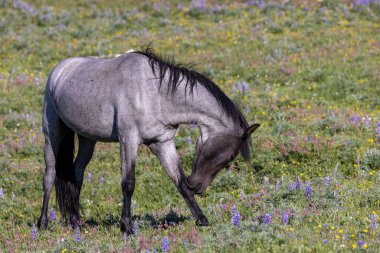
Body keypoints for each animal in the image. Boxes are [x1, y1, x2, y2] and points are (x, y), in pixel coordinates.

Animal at [37, 46, 260, 233]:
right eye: (230, 156)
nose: (198, 186)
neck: (155, 93)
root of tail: (59, 70)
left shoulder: (162, 142)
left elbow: (179, 181)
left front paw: (201, 219)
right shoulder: (128, 140)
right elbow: (128, 183)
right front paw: (127, 226)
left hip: (87, 139)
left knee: (76, 175)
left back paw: (76, 222)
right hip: (52, 134)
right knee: (49, 176)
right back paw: (43, 224)